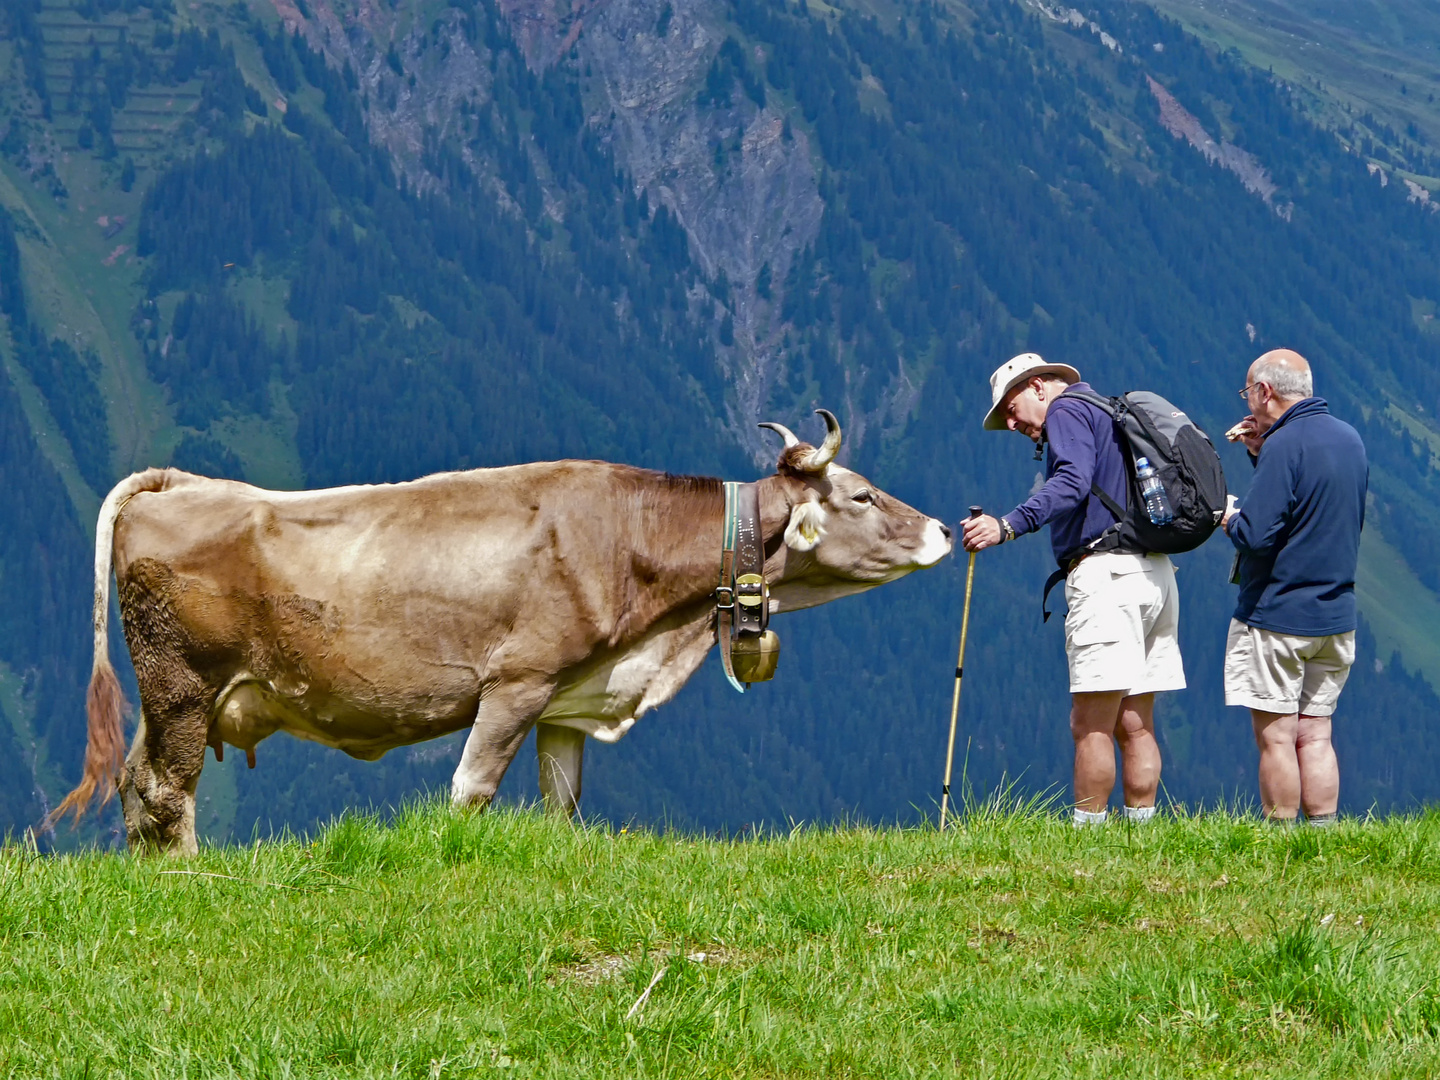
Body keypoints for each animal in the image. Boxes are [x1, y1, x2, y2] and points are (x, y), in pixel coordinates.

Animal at [56, 414, 956, 852]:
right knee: (168, 792)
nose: (946, 530)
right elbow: (471, 788)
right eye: (864, 495)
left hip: (168, 697)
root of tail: (178, 481)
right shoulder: (517, 683)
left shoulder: (567, 701)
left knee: (137, 785)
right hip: (183, 685)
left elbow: (563, 803)